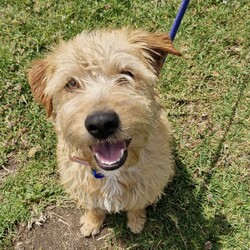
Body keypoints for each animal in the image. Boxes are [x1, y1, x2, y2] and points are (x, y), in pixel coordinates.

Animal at [27, 27, 180, 236]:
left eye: (126, 74)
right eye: (71, 83)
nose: (101, 124)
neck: (111, 174)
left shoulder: (149, 183)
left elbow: (136, 205)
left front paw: (136, 221)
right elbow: (94, 207)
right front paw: (92, 222)